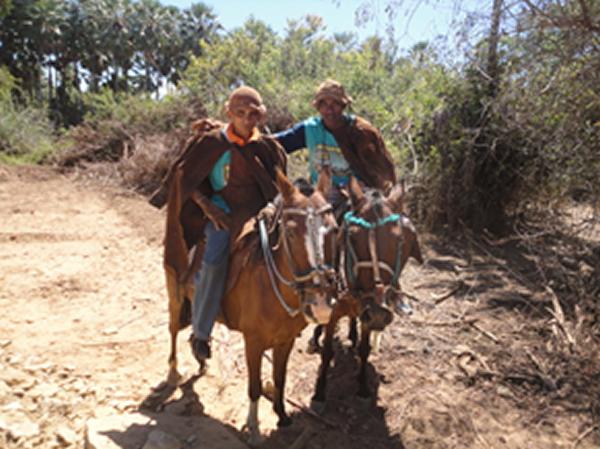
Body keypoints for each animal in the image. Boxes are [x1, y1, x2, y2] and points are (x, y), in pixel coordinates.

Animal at [165, 169, 338, 444]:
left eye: (333, 229)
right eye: (290, 233)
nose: (320, 304)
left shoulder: (285, 341)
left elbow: (279, 378)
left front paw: (282, 416)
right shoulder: (253, 343)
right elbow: (255, 387)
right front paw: (254, 429)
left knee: (197, 327)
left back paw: (200, 355)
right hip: (175, 295)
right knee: (172, 331)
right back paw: (173, 371)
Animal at [310, 176, 422, 412]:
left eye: (402, 240)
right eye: (351, 236)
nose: (379, 313)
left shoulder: (368, 312)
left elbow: (364, 349)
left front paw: (362, 388)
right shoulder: (338, 311)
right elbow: (327, 351)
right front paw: (319, 394)